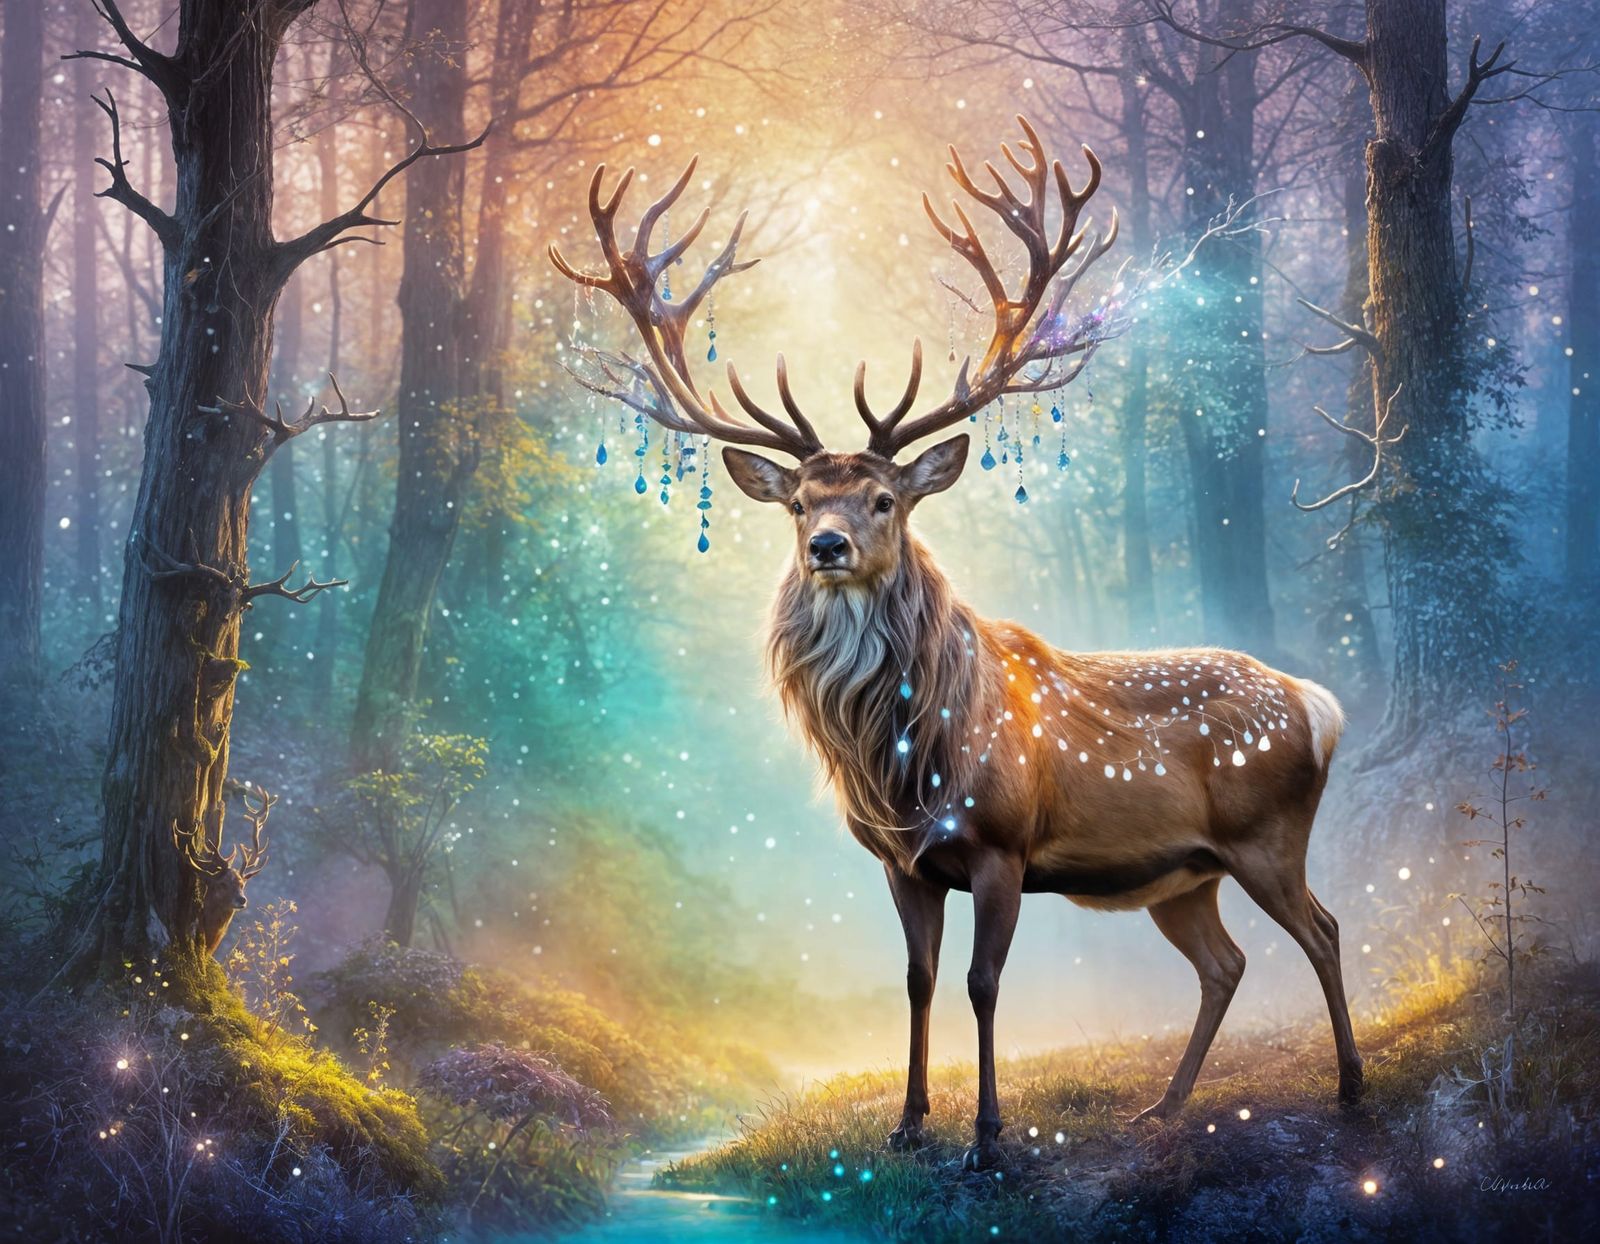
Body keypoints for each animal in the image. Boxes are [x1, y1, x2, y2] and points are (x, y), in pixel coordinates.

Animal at [550, 115, 1363, 1171]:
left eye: (883, 498)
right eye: (800, 502)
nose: (826, 546)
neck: (908, 762)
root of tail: (1318, 704)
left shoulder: (1002, 846)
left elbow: (982, 984)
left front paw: (986, 1136)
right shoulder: (902, 863)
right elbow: (919, 981)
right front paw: (907, 1125)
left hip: (1268, 834)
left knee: (1326, 930)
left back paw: (1350, 1087)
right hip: (1182, 876)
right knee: (1225, 962)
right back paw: (1164, 1108)